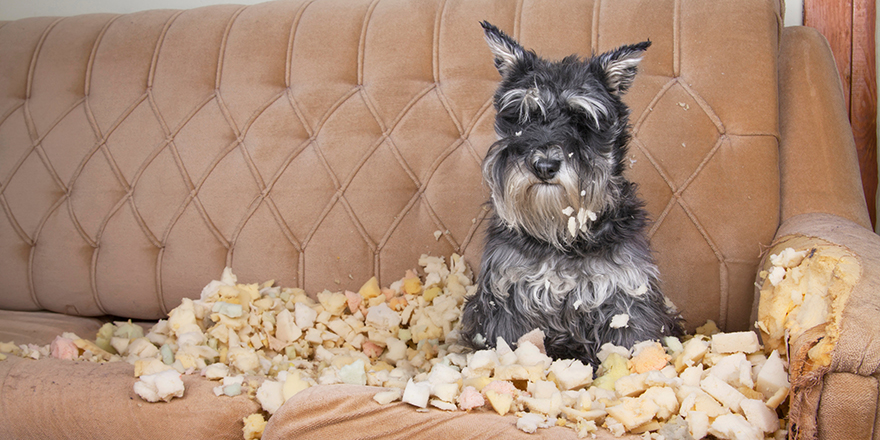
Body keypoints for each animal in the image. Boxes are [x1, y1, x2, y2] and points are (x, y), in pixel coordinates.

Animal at [458, 22, 684, 366]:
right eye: (523, 116)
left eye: (582, 121)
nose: (544, 165)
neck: (563, 236)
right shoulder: (506, 299)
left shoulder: (627, 298)